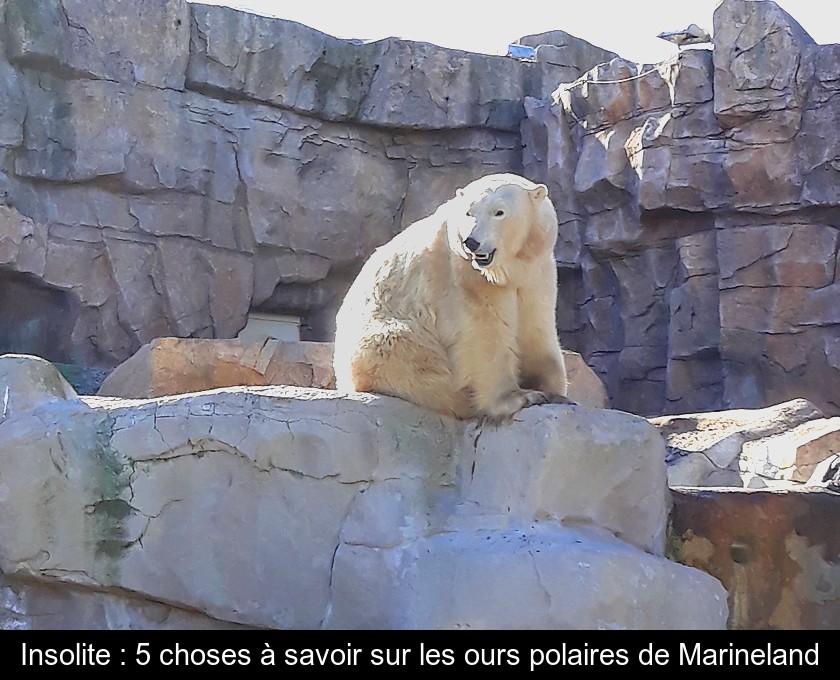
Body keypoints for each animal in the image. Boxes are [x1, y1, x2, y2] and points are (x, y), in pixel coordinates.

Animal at [334, 173, 572, 422]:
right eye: (469, 212)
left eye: (499, 212)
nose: (472, 242)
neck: (509, 268)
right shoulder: (465, 275)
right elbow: (485, 334)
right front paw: (518, 398)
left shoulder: (537, 270)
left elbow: (536, 323)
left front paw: (553, 390)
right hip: (389, 340)